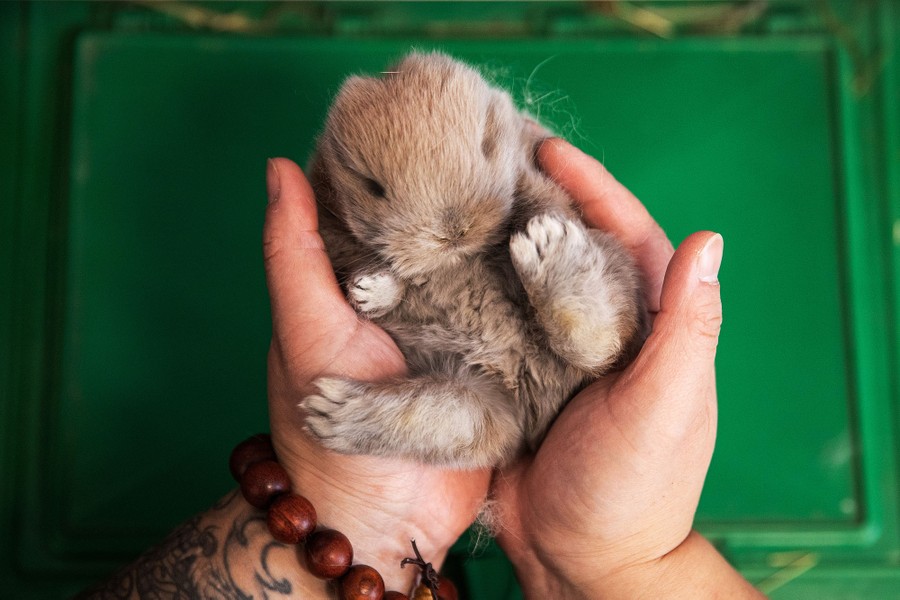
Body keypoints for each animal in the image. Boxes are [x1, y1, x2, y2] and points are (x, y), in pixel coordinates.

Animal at [303, 51, 648, 469]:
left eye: (486, 146)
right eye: (372, 186)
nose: (453, 232)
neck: (456, 262)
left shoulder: (538, 183)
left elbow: (545, 205)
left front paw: (539, 233)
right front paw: (370, 290)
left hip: (615, 276)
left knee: (596, 342)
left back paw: (548, 252)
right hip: (478, 401)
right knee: (446, 416)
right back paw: (329, 412)